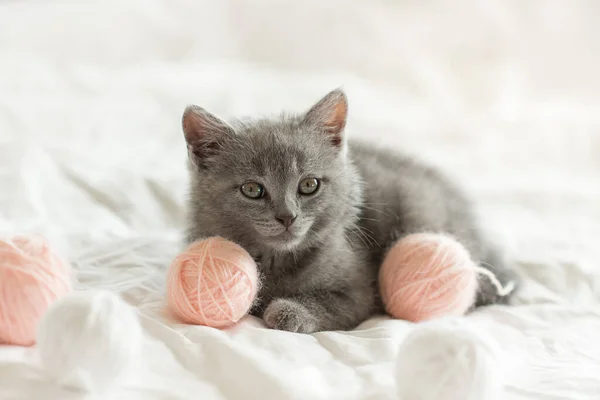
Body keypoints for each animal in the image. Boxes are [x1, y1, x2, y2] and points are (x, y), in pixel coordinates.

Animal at [180, 89, 516, 332]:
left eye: (309, 185)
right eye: (252, 190)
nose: (287, 216)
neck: (278, 261)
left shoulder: (360, 290)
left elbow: (332, 304)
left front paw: (289, 311)